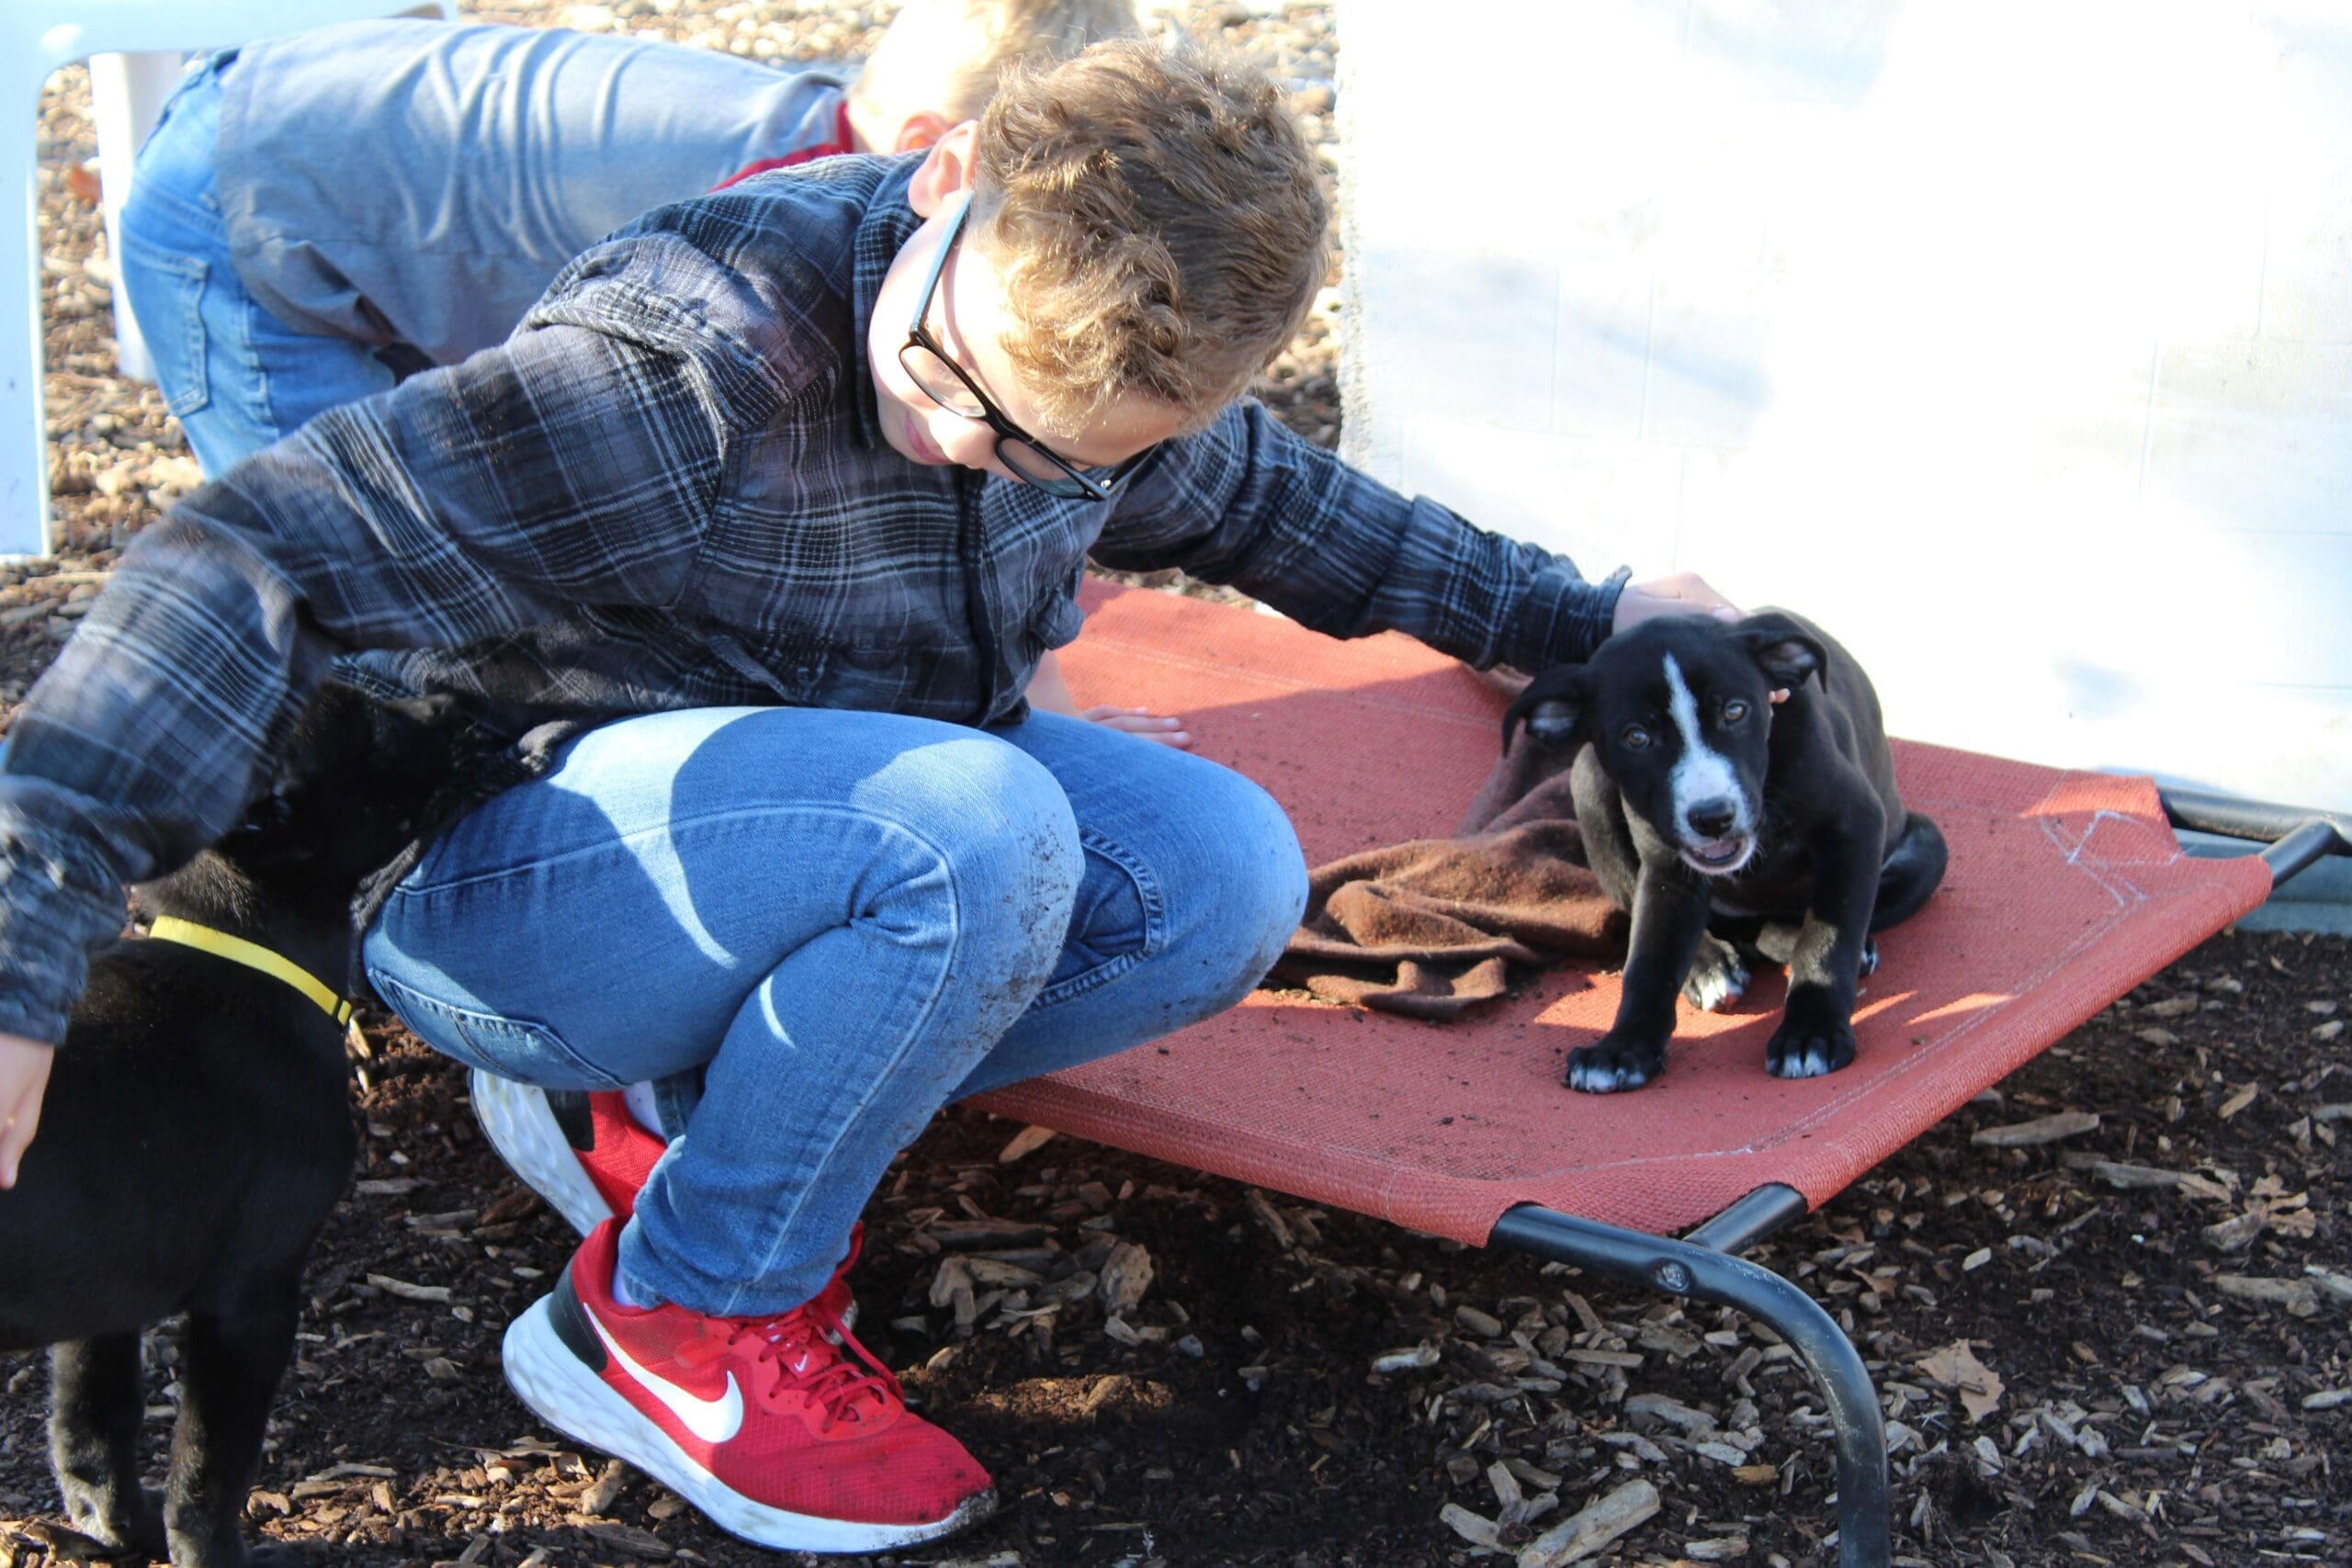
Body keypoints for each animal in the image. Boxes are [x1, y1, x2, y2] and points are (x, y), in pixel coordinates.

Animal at [0, 686, 472, 1568]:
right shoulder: (251, 1294)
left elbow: (92, 1423)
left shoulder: (102, 1289)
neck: (239, 955)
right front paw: (205, 1550)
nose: (449, 699)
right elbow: (210, 1464)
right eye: (372, 730)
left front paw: (116, 1529)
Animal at [1505, 611, 1947, 1090]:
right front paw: (1624, 1047)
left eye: (1735, 711)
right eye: (1636, 737)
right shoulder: (1668, 871)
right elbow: (1649, 961)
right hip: (1587, 780)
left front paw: (1811, 1034)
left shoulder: (1855, 827)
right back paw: (1711, 965)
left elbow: (1828, 943)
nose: (1713, 816)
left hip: (1926, 847)